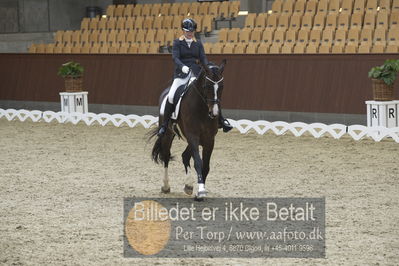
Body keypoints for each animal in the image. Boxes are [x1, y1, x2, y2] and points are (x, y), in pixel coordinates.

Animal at [148, 59, 227, 198]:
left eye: (221, 86)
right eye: (207, 86)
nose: (214, 113)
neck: (202, 109)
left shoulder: (209, 139)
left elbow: (206, 166)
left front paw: (200, 189)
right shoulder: (193, 136)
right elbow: (198, 163)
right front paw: (200, 191)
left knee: (185, 156)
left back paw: (188, 185)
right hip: (168, 134)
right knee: (166, 156)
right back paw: (166, 186)